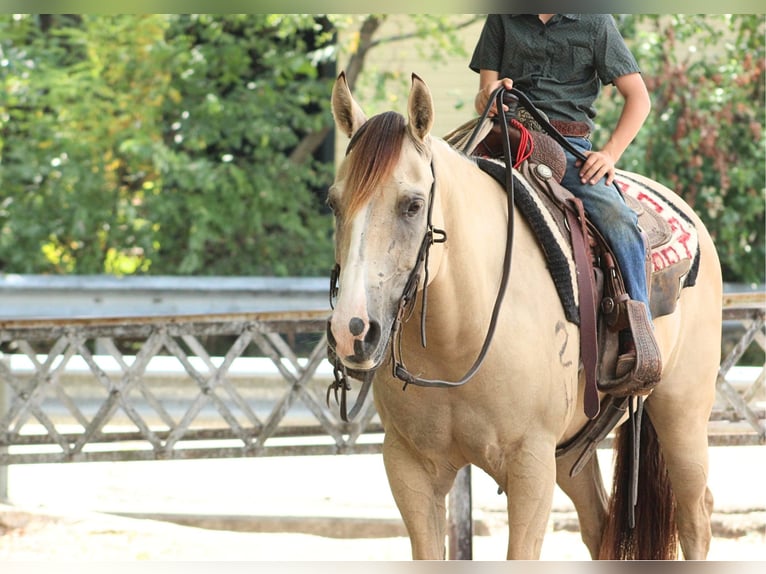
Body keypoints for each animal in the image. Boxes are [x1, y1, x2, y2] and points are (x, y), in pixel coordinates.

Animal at [326, 72, 722, 560]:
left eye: (413, 205)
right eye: (333, 203)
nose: (352, 330)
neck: (460, 338)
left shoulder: (530, 466)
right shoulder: (408, 466)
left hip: (682, 413)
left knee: (695, 518)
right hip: (571, 451)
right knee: (599, 524)